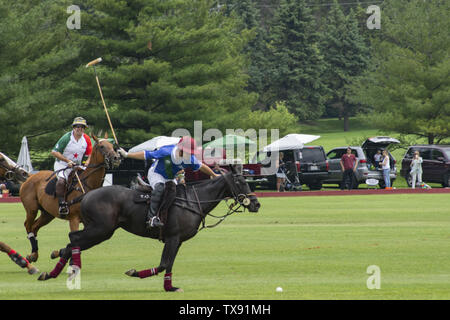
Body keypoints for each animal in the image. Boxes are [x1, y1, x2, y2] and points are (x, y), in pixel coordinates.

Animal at [40, 168, 262, 292]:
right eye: (240, 182)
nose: (256, 204)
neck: (193, 200)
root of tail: (85, 195)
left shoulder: (177, 240)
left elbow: (169, 264)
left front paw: (170, 287)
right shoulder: (173, 237)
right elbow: (164, 264)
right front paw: (134, 272)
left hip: (98, 229)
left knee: (72, 242)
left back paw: (56, 270)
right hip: (101, 229)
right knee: (74, 238)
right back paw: (66, 269)